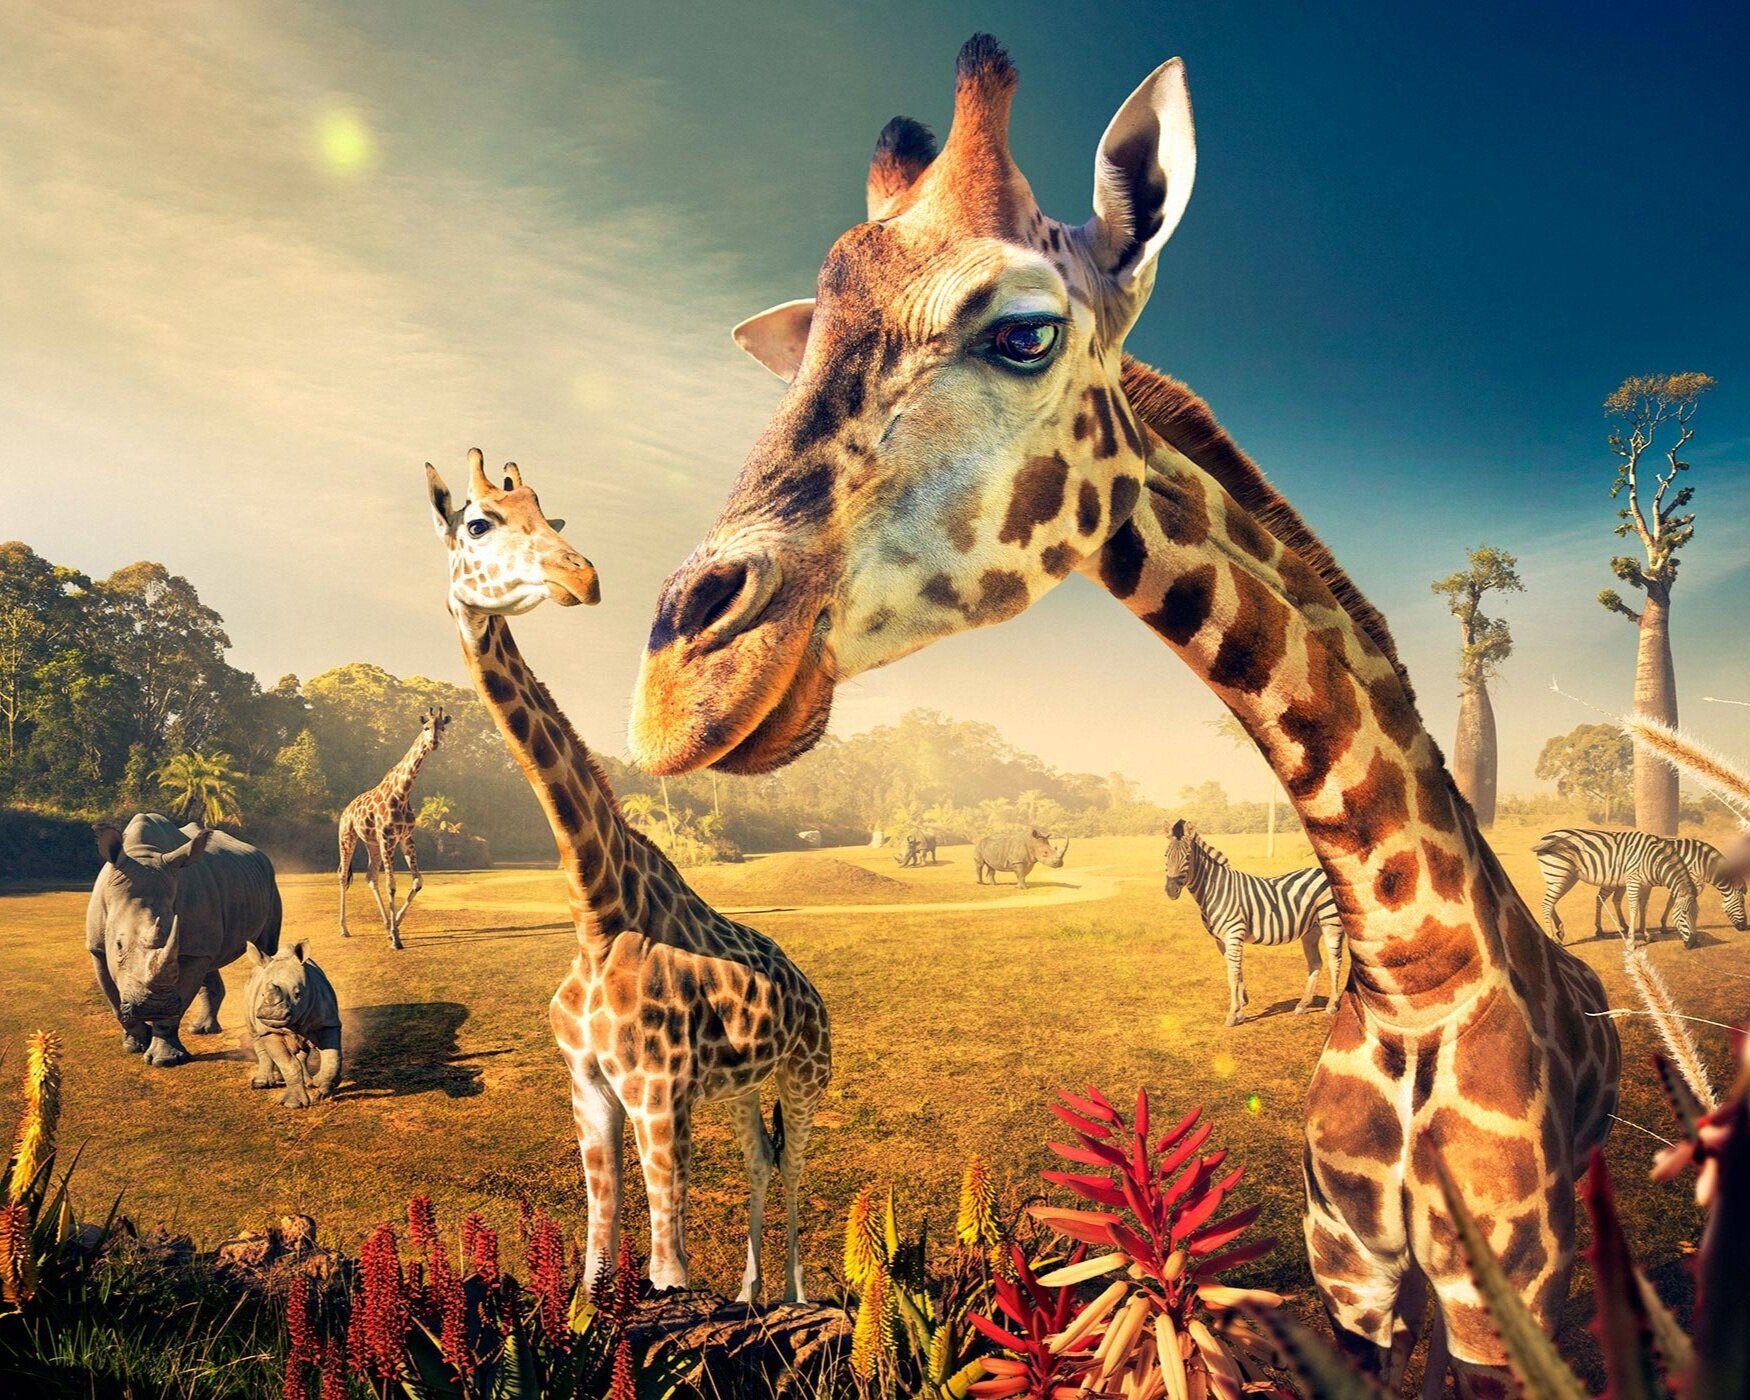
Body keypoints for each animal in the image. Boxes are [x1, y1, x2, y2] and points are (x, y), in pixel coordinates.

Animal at [337, 706, 450, 949]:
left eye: (442, 727)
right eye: (425, 727)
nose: (433, 742)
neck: (403, 792)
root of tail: (345, 810)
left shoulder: (405, 838)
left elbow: (418, 881)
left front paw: (394, 926)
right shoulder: (388, 837)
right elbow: (392, 884)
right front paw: (396, 939)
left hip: (371, 843)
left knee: (370, 877)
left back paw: (385, 924)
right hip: (347, 837)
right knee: (343, 875)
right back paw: (344, 929)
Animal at [426, 450, 831, 1301]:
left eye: (551, 517)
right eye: (477, 522)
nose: (581, 577)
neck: (597, 910)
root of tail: (812, 990)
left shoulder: (657, 1089)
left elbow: (667, 1265)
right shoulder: (588, 1086)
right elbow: (598, 1243)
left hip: (808, 1074)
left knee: (797, 1164)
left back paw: (797, 1293)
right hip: (744, 1087)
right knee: (762, 1159)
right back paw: (748, 1295)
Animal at [628, 36, 1619, 1393]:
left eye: (1024, 331)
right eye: (809, 344)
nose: (678, 689)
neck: (1413, 968)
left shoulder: (1500, 1296)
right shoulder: (1353, 1273)